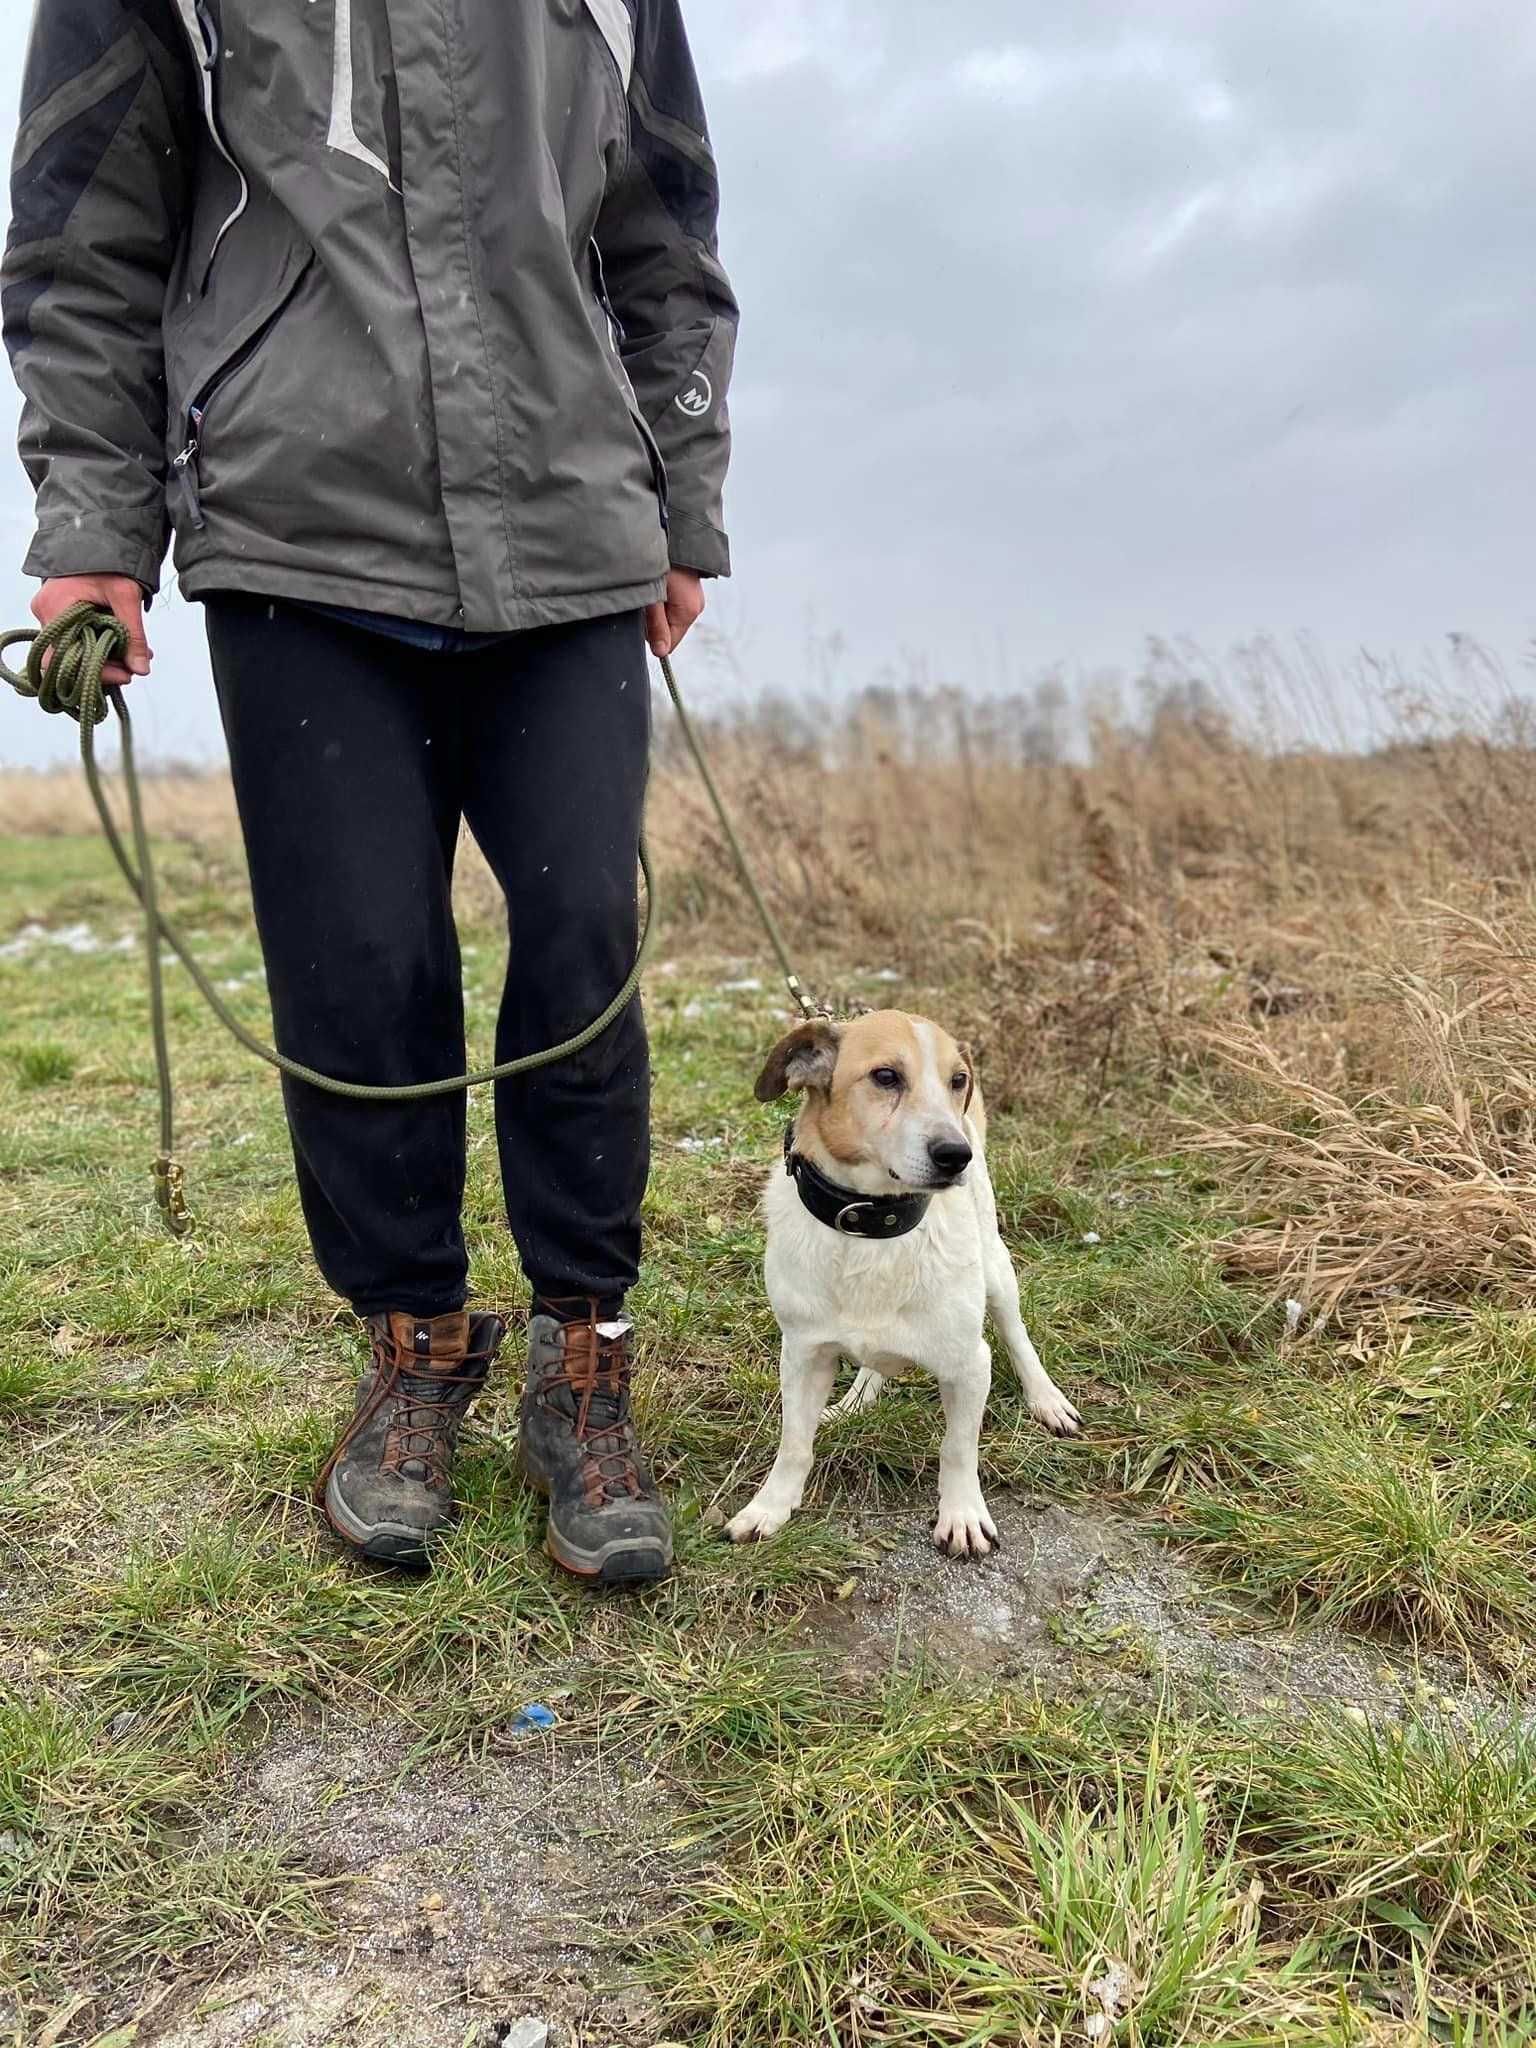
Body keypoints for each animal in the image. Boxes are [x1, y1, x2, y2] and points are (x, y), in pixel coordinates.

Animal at [729, 1007, 1081, 1548]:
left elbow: (958, 1448)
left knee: (1018, 1336)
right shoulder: (803, 1355)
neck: (873, 1227)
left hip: (997, 1271)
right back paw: (855, 1401)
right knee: (877, 1361)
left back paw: (1046, 1399)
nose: (956, 1154)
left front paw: (962, 1514)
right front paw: (771, 1506)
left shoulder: (969, 1366)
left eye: (957, 1081)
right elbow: (794, 1443)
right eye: (886, 1077)